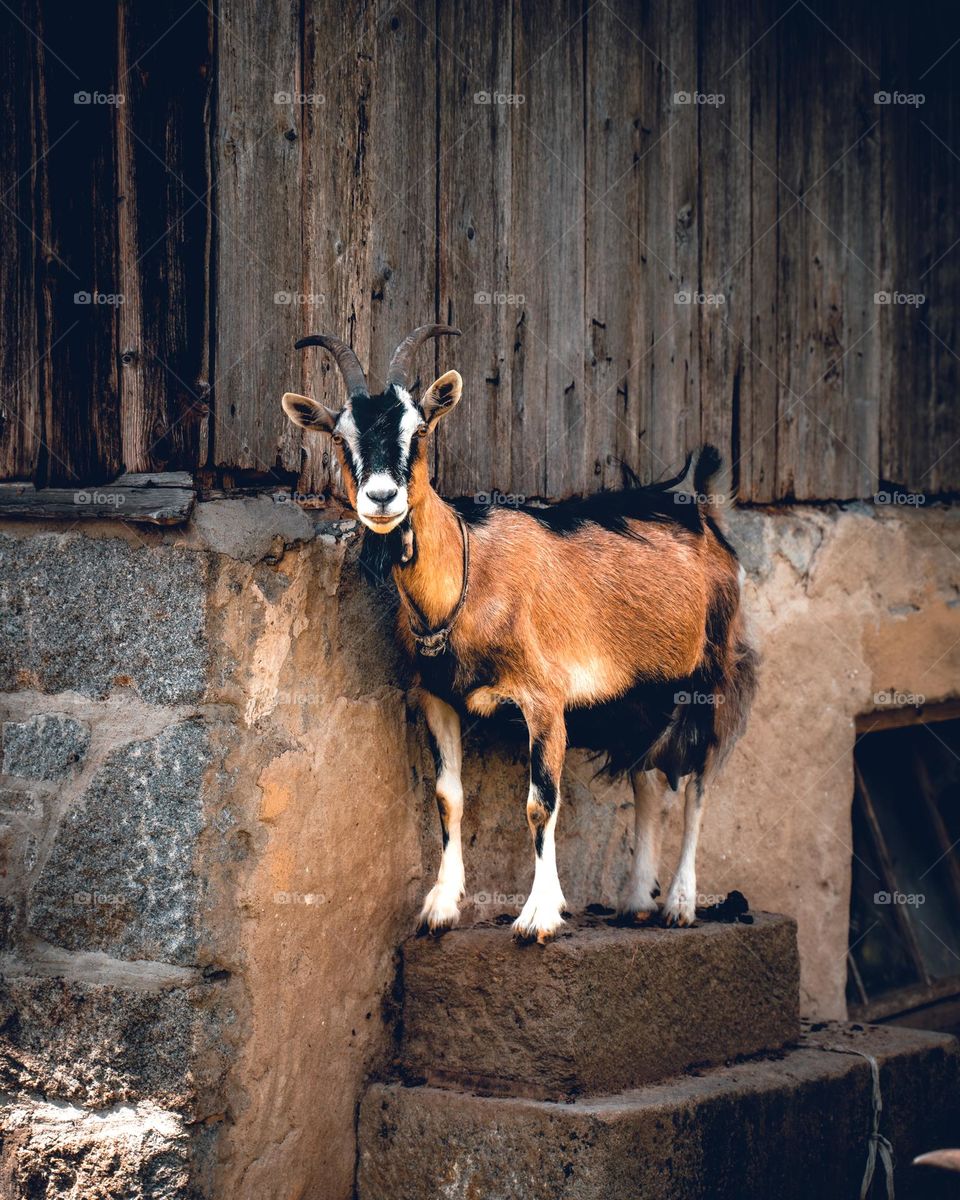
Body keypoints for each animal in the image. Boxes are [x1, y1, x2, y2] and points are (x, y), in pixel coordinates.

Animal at [283, 328, 758, 945]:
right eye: (341, 437)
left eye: (420, 429)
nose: (382, 498)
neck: (467, 577)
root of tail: (705, 513)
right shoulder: (437, 698)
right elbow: (448, 797)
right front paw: (441, 907)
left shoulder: (545, 700)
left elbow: (540, 804)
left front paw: (538, 916)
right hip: (635, 693)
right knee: (649, 781)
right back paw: (636, 900)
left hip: (711, 677)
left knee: (699, 779)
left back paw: (679, 903)